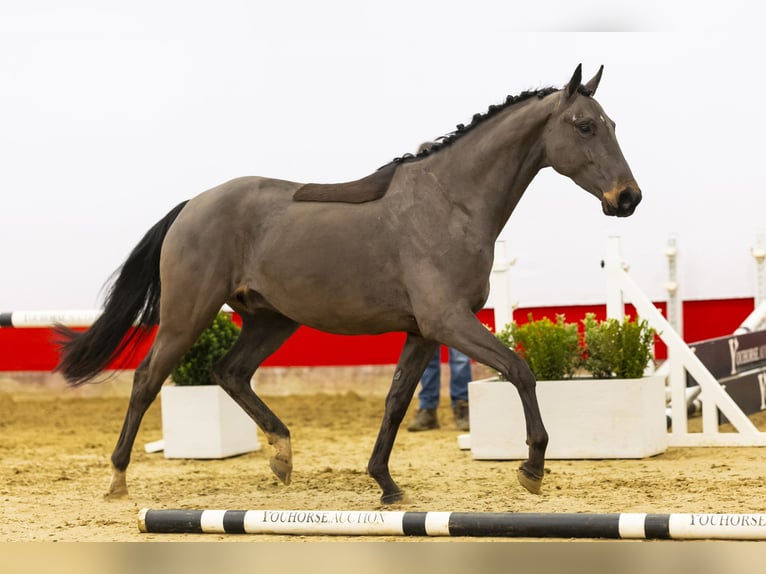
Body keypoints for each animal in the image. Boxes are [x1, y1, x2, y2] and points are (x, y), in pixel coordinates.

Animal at [57, 65, 640, 506]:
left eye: (612, 123)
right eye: (584, 126)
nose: (628, 197)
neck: (452, 201)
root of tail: (192, 205)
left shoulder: (424, 331)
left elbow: (397, 400)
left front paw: (385, 482)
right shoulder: (448, 321)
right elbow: (520, 370)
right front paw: (532, 467)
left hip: (271, 319)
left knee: (230, 372)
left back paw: (282, 455)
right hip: (188, 315)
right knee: (146, 379)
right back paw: (118, 479)